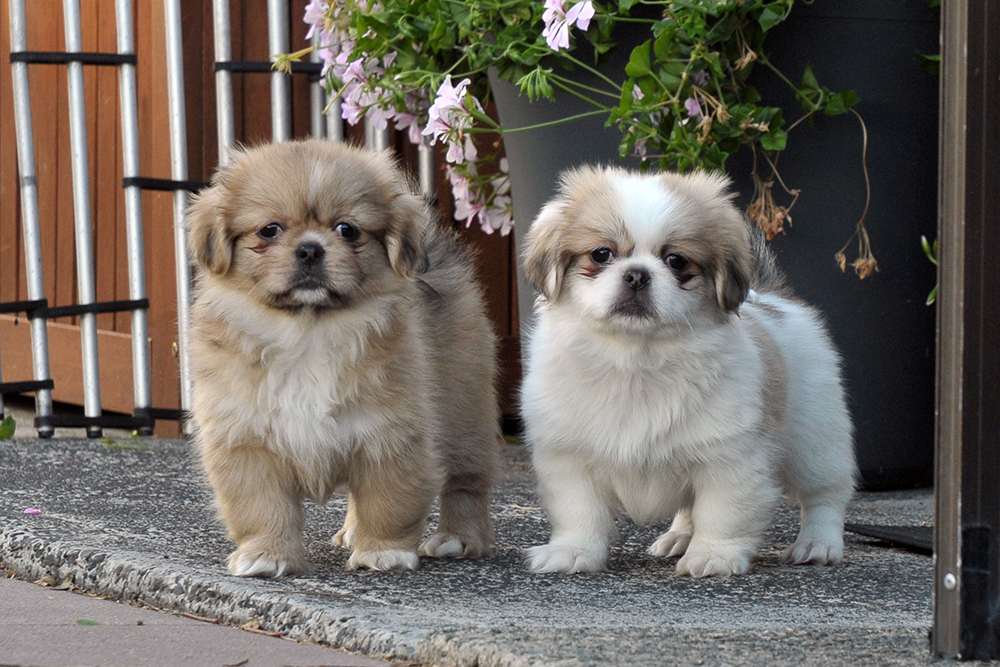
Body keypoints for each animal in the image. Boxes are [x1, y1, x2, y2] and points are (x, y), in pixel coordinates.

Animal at [186, 140, 498, 576]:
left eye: (347, 230)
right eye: (269, 230)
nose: (310, 249)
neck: (308, 331)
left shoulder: (391, 435)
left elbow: (389, 501)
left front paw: (382, 552)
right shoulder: (246, 440)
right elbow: (263, 509)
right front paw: (266, 554)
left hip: (465, 415)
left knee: (467, 484)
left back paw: (459, 538)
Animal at [520, 167, 856, 580]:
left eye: (676, 261)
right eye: (601, 254)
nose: (637, 275)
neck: (637, 360)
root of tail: (774, 297)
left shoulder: (729, 457)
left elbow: (722, 513)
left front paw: (713, 556)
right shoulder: (568, 457)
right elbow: (579, 512)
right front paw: (572, 551)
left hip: (816, 440)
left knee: (825, 496)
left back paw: (818, 544)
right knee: (687, 507)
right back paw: (679, 537)